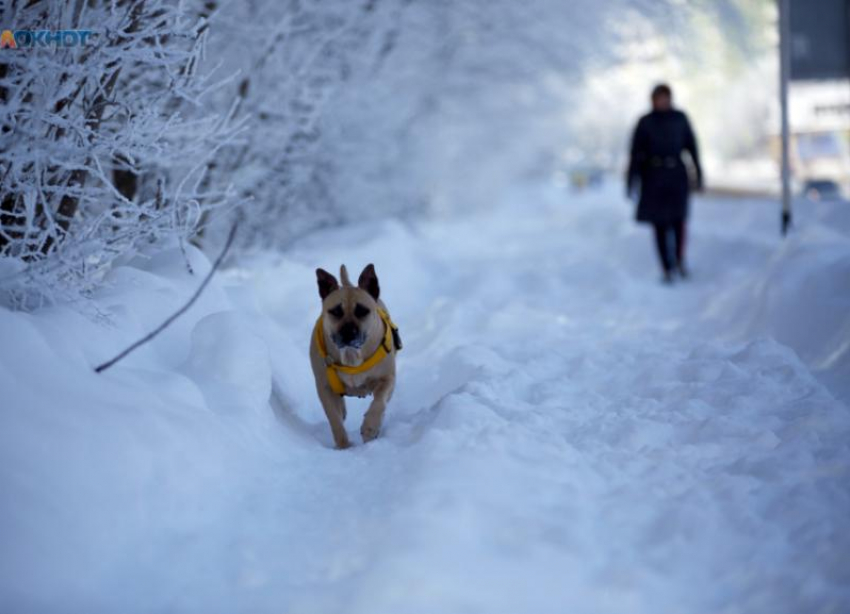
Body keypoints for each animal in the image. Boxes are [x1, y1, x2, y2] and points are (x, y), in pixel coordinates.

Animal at [310, 264, 400, 448]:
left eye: (362, 311)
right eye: (335, 311)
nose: (348, 332)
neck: (351, 355)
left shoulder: (387, 378)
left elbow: (380, 401)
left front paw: (370, 427)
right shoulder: (324, 387)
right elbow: (334, 419)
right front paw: (343, 445)